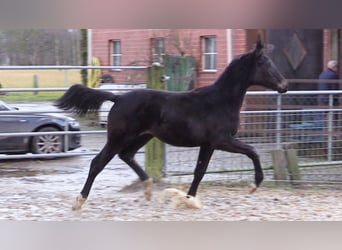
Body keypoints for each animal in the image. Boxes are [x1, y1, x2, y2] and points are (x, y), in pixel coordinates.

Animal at [54, 40, 288, 210]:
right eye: (265, 64)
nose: (284, 85)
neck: (219, 101)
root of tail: (118, 98)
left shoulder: (208, 144)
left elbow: (199, 171)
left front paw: (188, 199)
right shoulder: (220, 140)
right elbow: (252, 151)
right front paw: (253, 185)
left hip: (143, 136)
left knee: (126, 155)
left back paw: (148, 188)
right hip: (118, 138)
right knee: (98, 163)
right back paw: (79, 201)